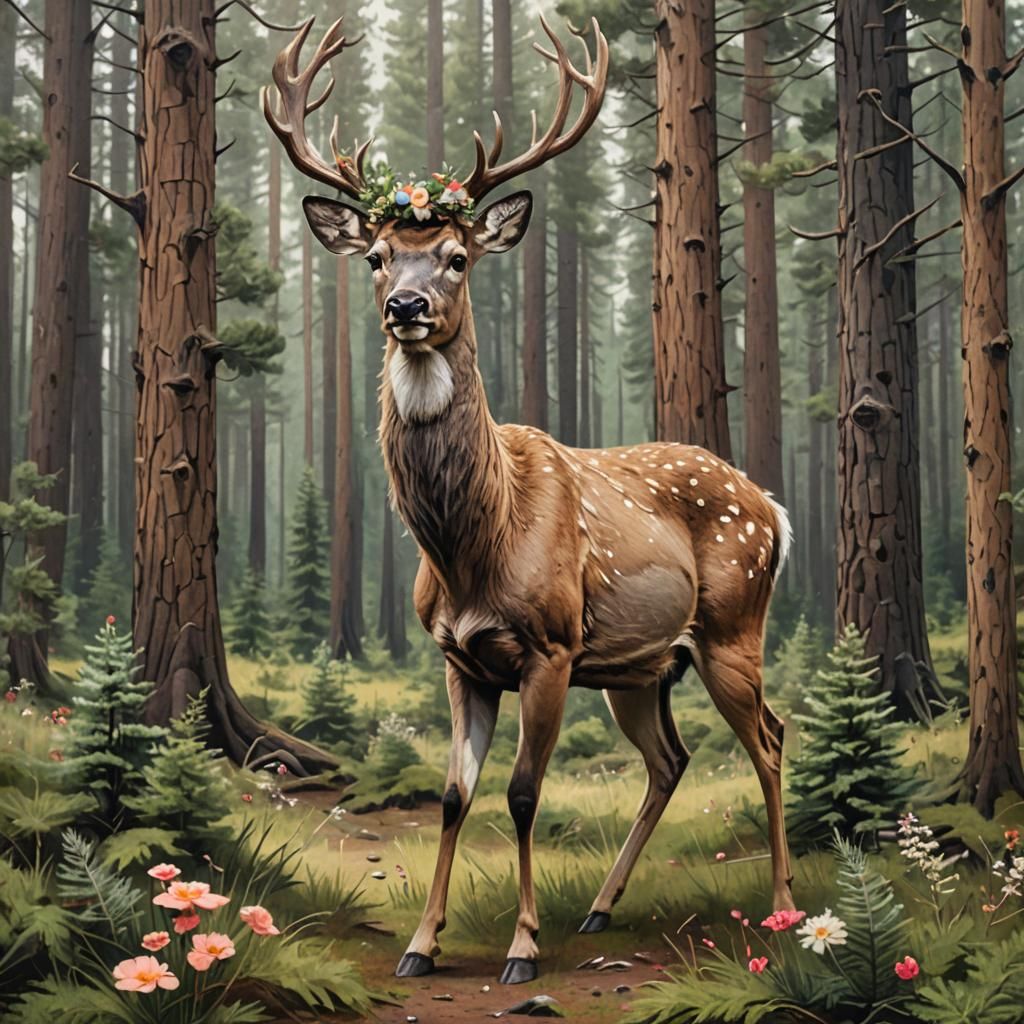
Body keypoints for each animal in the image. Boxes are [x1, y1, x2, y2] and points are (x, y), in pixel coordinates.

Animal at [264, 12, 796, 986]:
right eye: (376, 255)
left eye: (457, 257)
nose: (405, 306)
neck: (474, 544)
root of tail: (771, 506)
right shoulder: (458, 658)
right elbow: (451, 794)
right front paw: (421, 944)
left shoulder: (550, 645)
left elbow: (519, 792)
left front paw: (519, 947)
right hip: (643, 666)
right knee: (670, 759)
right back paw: (599, 907)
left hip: (733, 625)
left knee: (769, 738)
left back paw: (781, 904)